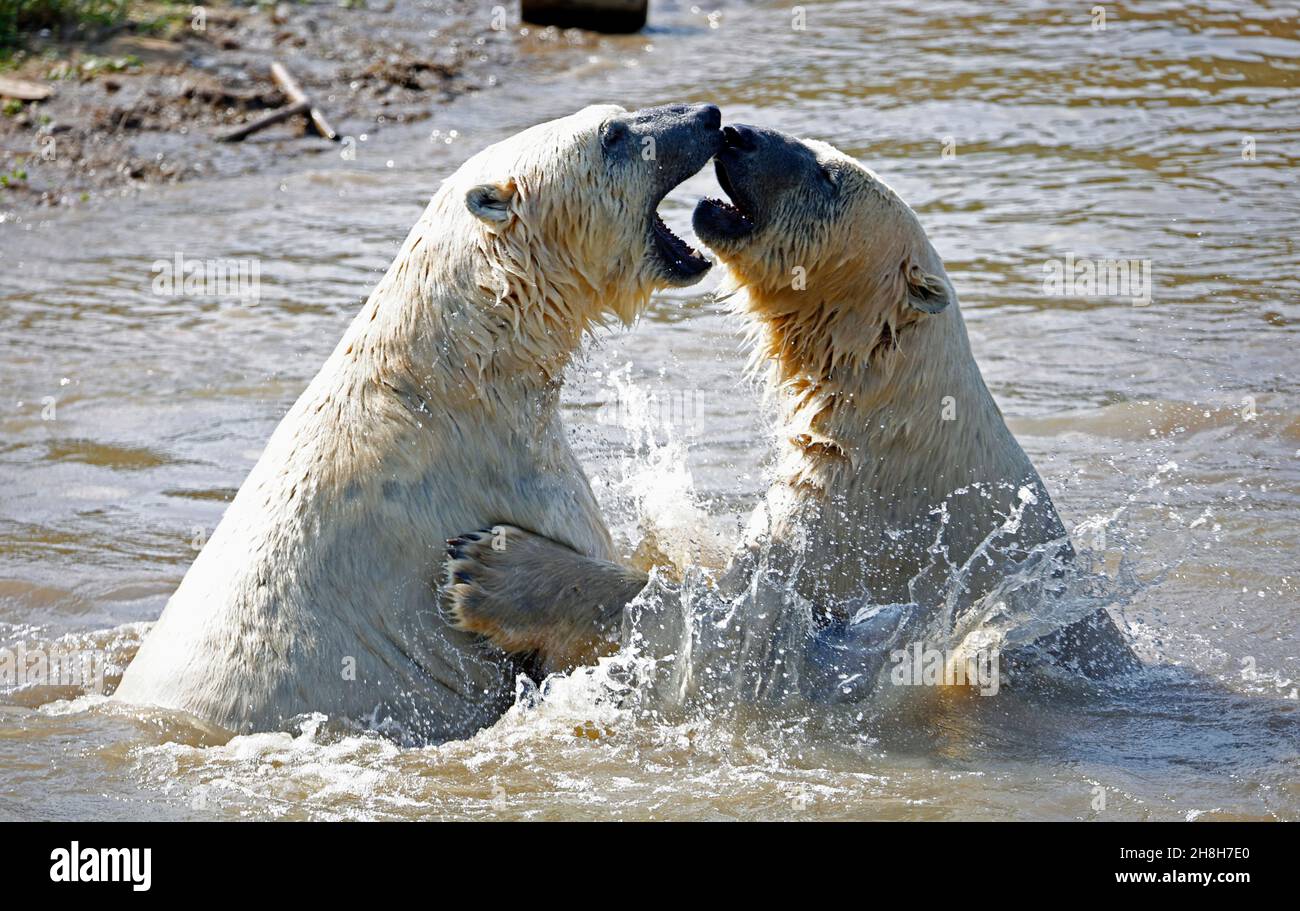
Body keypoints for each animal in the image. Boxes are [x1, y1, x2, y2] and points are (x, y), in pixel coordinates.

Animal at [447, 122, 1138, 691]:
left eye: (829, 174)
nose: (736, 134)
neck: (892, 412)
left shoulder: (860, 534)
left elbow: (730, 630)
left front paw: (493, 568)